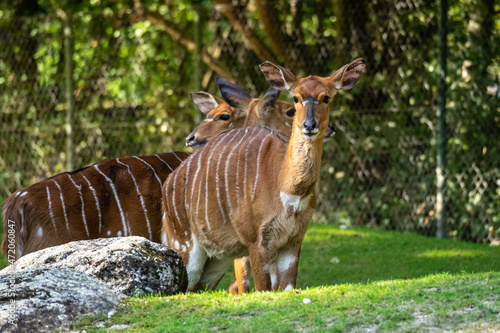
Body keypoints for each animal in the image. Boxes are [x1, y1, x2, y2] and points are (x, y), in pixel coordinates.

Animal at [162, 59, 366, 290]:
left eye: (326, 97)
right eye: (295, 99)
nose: (310, 125)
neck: (287, 189)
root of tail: (169, 182)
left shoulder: (292, 241)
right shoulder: (255, 242)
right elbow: (258, 287)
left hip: (215, 263)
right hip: (184, 247)